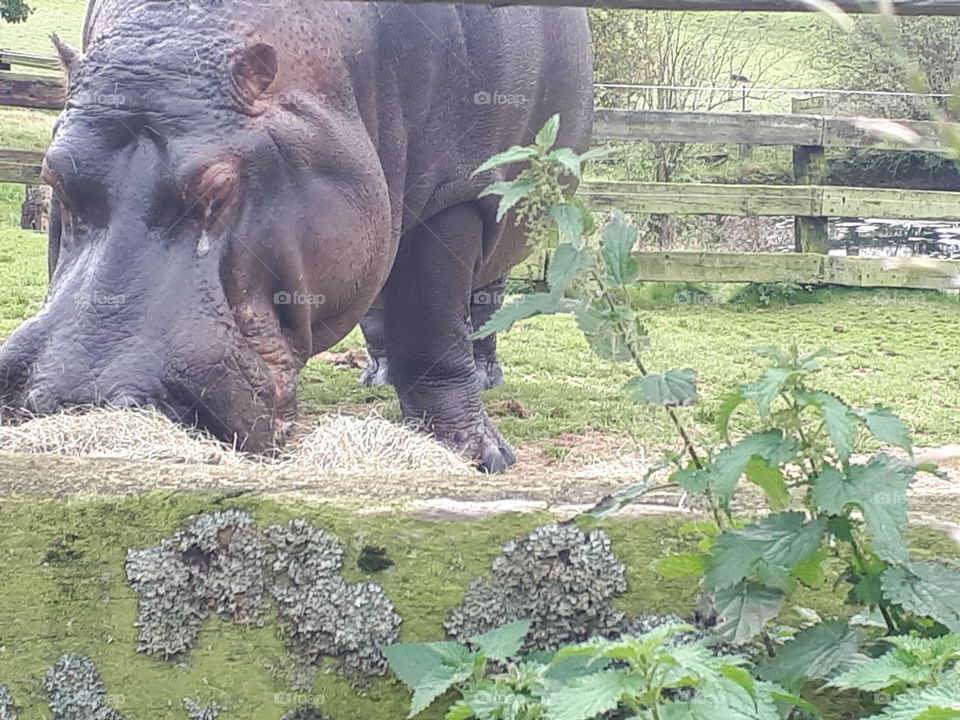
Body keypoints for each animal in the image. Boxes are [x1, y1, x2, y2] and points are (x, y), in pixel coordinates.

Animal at [0, 0, 592, 472]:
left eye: (220, 187)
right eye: (53, 174)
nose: (78, 396)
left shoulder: (453, 195)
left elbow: (433, 329)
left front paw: (480, 456)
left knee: (480, 300)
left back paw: (486, 376)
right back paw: (378, 376)